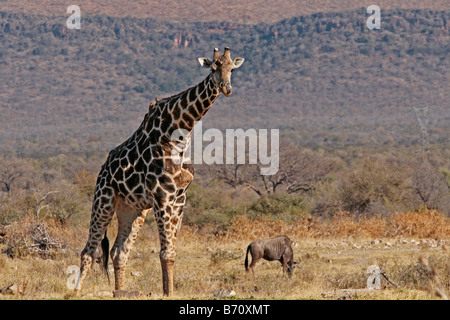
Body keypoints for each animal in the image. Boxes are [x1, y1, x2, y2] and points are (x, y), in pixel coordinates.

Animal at [77, 47, 246, 296]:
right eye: (214, 66)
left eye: (232, 69)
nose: (227, 89)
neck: (178, 135)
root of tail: (103, 170)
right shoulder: (162, 197)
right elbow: (165, 253)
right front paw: (167, 293)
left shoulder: (179, 198)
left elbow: (171, 252)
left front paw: (170, 291)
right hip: (103, 200)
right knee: (89, 250)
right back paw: (76, 290)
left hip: (132, 210)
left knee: (119, 253)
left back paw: (120, 291)